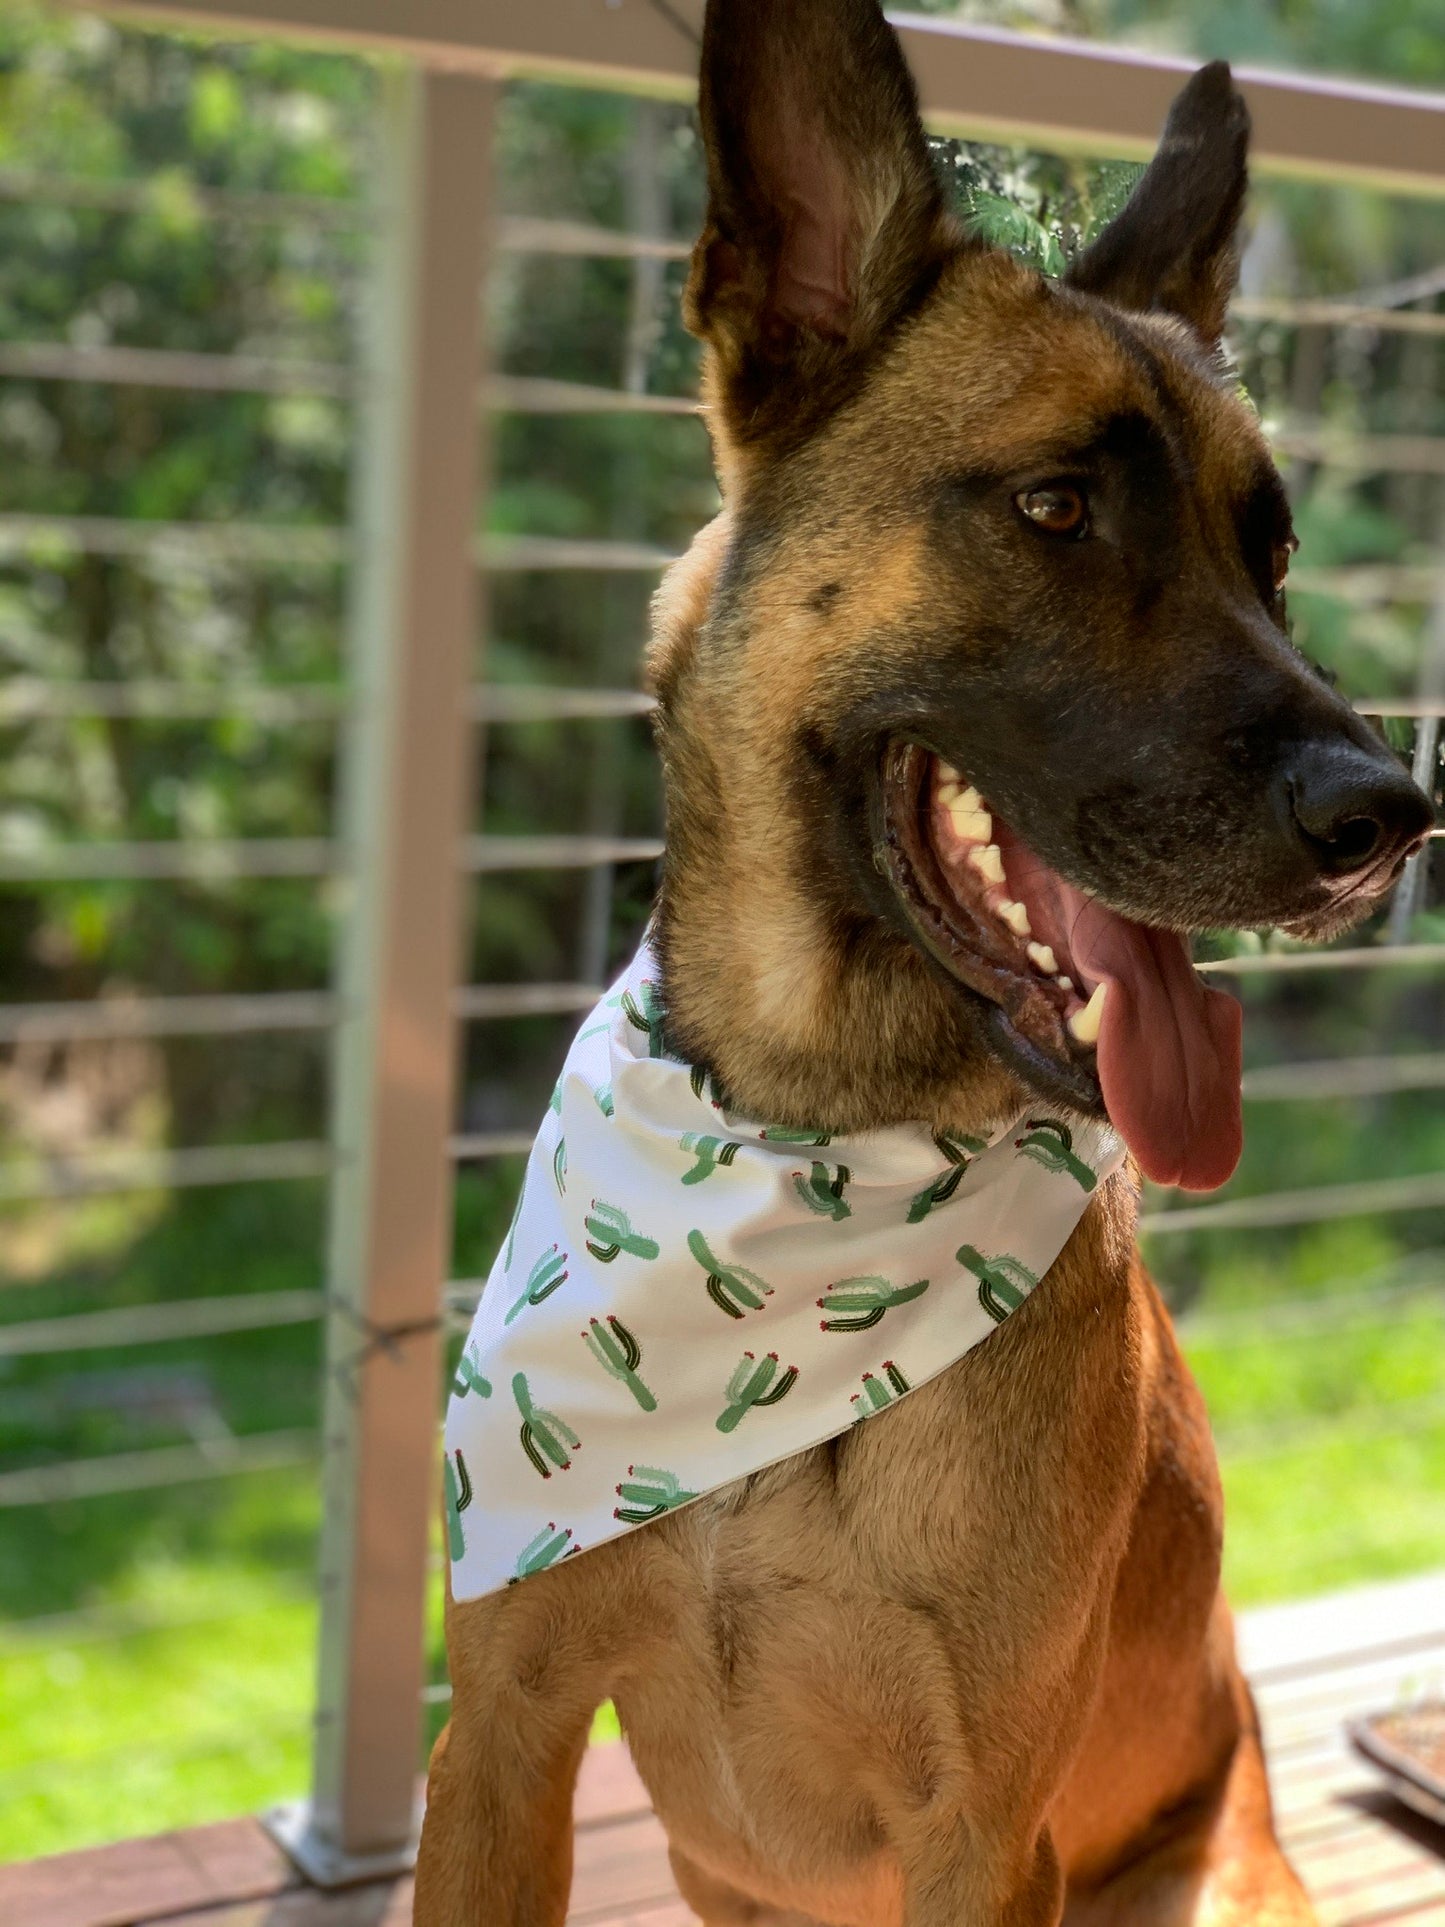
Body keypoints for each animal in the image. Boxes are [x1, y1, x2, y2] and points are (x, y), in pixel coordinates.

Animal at [416, 7, 1441, 1919]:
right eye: (1055, 507)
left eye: (1265, 552)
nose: (1392, 814)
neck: (804, 1145)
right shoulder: (498, 1746)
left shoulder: (982, 1830)